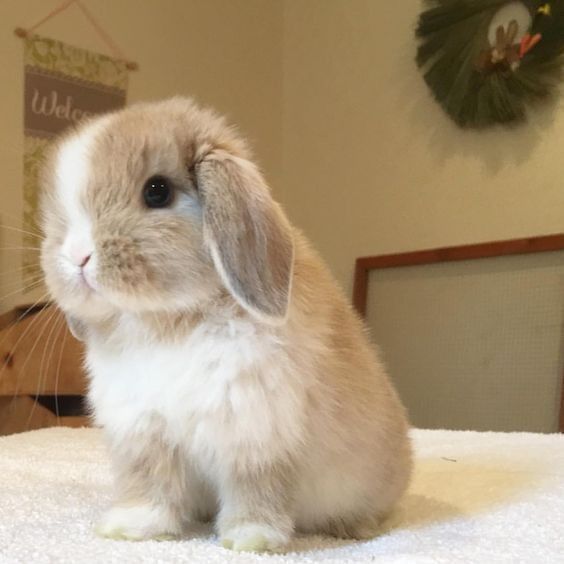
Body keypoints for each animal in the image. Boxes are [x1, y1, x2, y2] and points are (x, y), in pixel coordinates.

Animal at [38, 97, 410, 552]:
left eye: (157, 191)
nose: (77, 257)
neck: (167, 321)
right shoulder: (143, 433)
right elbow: (149, 485)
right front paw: (130, 528)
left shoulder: (254, 436)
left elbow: (255, 487)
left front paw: (252, 538)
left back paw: (355, 527)